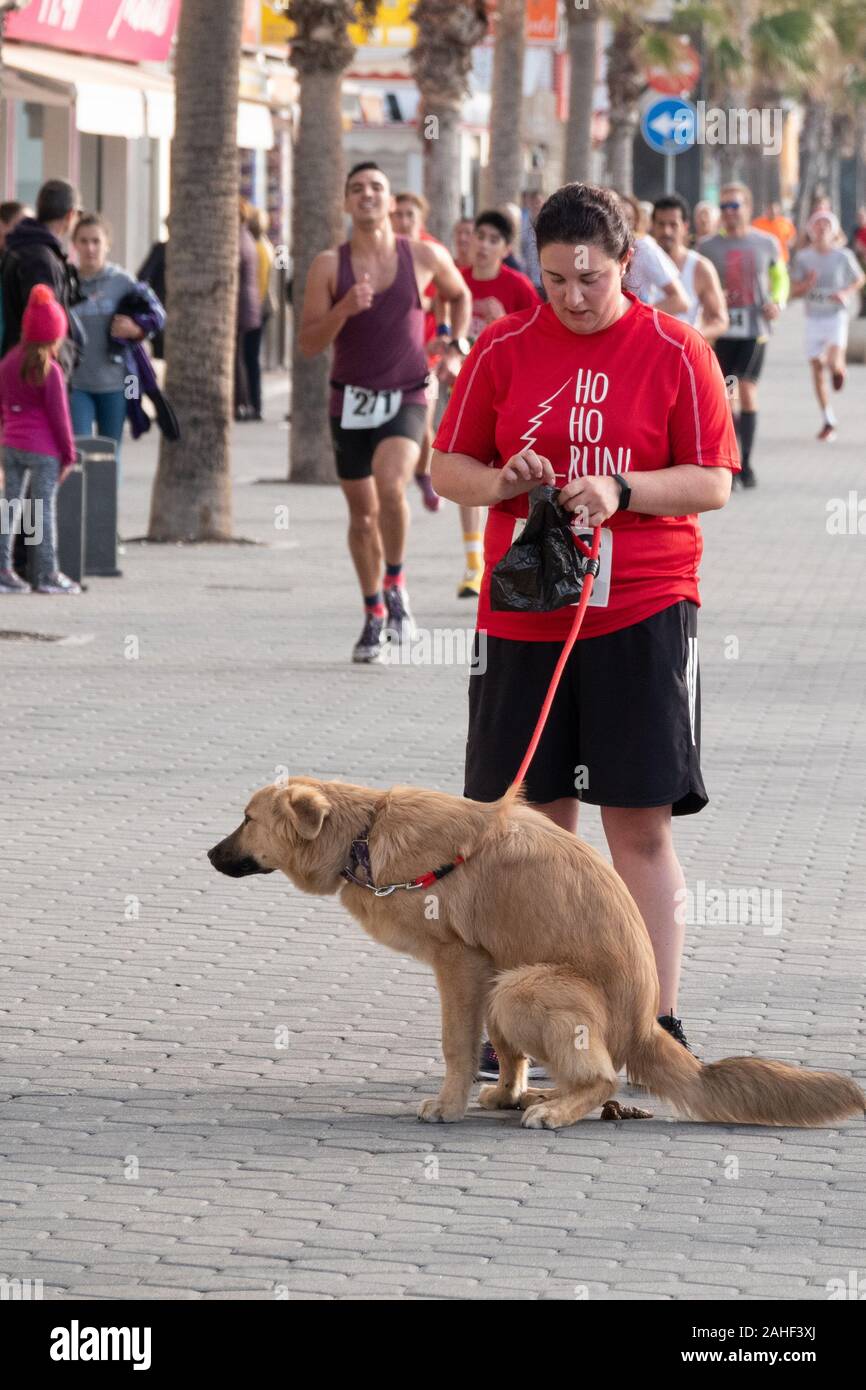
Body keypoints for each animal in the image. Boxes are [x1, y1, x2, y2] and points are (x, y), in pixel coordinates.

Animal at [209, 778, 866, 1134]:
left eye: (246, 819)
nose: (209, 855)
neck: (364, 832)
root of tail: (644, 1027)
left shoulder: (462, 966)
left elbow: (456, 1046)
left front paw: (449, 1105)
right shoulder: (486, 962)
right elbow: (502, 1052)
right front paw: (503, 1090)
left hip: (525, 985)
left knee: (603, 1078)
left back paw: (558, 1109)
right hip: (512, 975)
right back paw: (540, 1096)